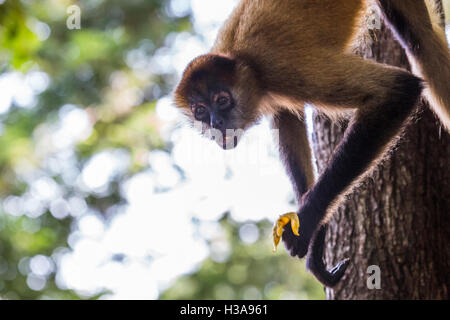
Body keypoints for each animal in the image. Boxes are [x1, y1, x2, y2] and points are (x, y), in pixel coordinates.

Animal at [173, 0, 450, 284]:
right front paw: (317, 241)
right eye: (200, 111)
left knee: (416, 38)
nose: (215, 122)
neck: (243, 60)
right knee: (421, 35)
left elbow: (397, 90)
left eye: (222, 101)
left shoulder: (280, 68)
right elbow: (287, 119)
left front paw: (307, 221)